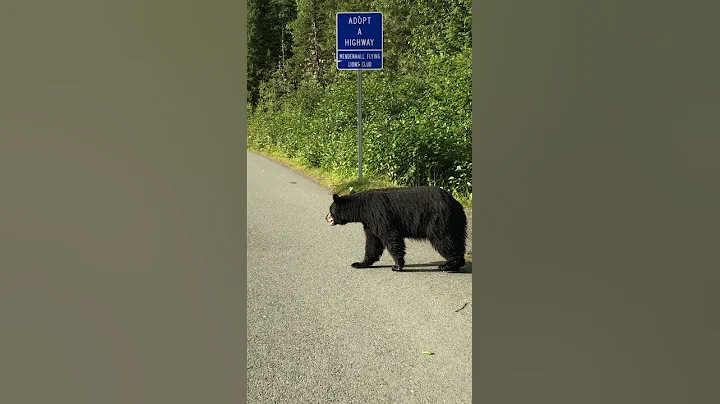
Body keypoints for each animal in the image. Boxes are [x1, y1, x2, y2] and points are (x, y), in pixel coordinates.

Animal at [325, 186, 467, 272]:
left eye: (330, 209)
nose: (326, 217)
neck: (362, 209)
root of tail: (456, 203)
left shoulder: (379, 216)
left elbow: (391, 237)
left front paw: (397, 266)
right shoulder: (370, 223)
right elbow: (372, 243)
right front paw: (360, 263)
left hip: (438, 220)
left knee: (443, 240)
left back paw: (448, 265)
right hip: (456, 224)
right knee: (456, 241)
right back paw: (455, 264)